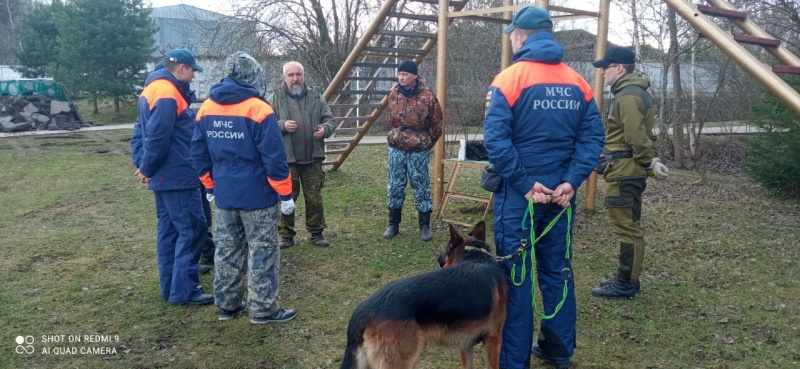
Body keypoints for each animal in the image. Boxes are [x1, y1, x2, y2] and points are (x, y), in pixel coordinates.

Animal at [340, 221, 506, 368]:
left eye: (446, 249)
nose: (439, 259)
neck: (475, 255)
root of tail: (362, 311)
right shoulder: (494, 338)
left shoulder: (466, 343)